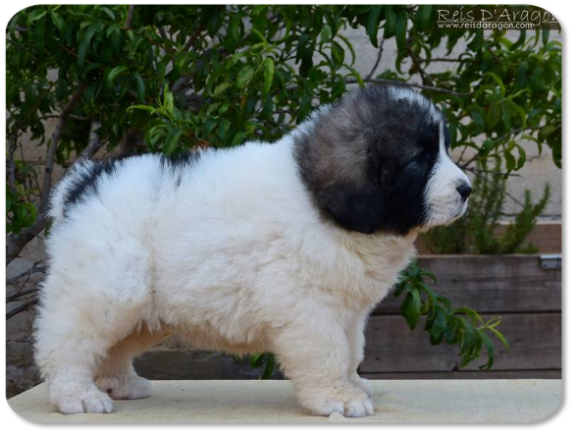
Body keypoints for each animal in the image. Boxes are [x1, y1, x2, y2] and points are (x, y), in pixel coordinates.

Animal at [33, 85, 470, 416]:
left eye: (443, 149)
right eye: (419, 160)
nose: (466, 189)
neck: (319, 203)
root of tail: (84, 181)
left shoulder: (348, 310)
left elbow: (351, 350)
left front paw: (353, 384)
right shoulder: (307, 307)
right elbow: (328, 352)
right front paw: (339, 398)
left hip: (143, 308)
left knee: (112, 346)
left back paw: (119, 382)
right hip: (108, 290)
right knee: (68, 343)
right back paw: (77, 395)